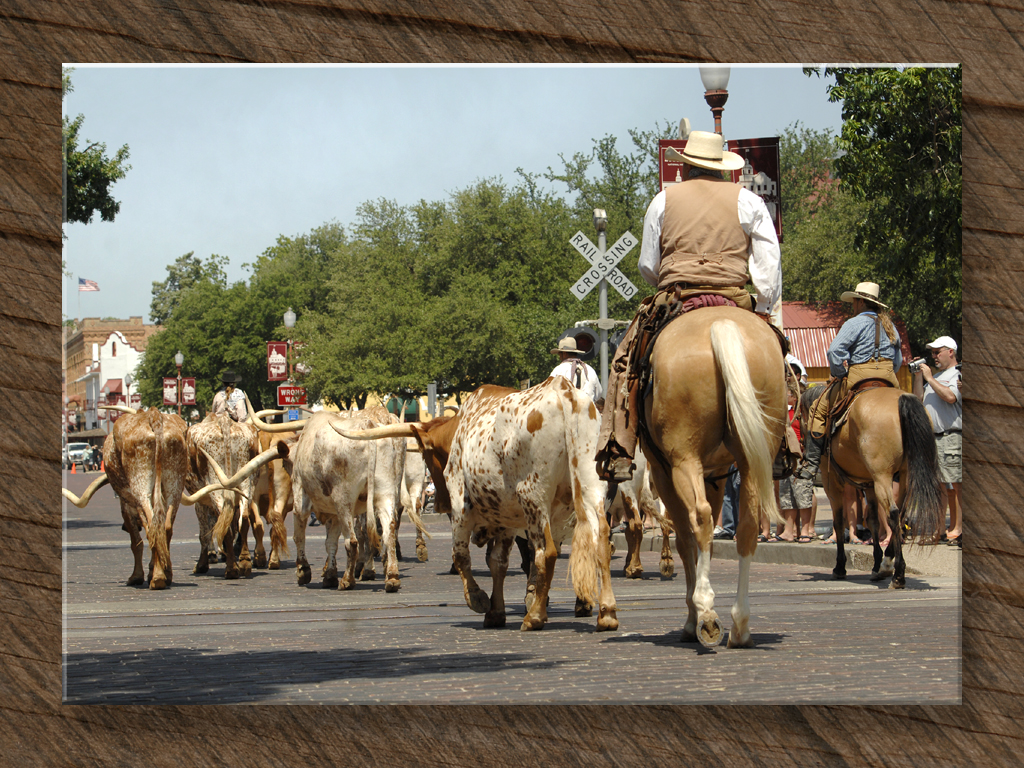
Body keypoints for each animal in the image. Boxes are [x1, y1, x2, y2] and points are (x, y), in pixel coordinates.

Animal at [339, 376, 618, 634]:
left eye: (427, 455)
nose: (438, 503)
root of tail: (564, 391)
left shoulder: (461, 507)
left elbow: (461, 556)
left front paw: (478, 599)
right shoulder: (506, 517)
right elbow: (497, 563)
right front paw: (495, 612)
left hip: (534, 497)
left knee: (546, 552)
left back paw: (535, 616)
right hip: (591, 487)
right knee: (600, 542)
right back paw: (607, 613)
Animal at [638, 307, 782, 651]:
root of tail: (722, 324)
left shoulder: (664, 472)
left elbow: (685, 539)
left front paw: (693, 618)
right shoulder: (716, 473)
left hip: (683, 458)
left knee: (700, 519)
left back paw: (706, 613)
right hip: (752, 456)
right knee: (747, 527)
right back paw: (740, 625)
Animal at [806, 385, 942, 589]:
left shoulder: (832, 482)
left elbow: (839, 522)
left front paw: (840, 566)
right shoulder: (868, 483)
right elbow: (873, 521)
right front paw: (877, 563)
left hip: (882, 476)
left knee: (893, 514)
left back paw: (898, 575)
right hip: (903, 474)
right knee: (900, 514)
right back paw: (887, 564)